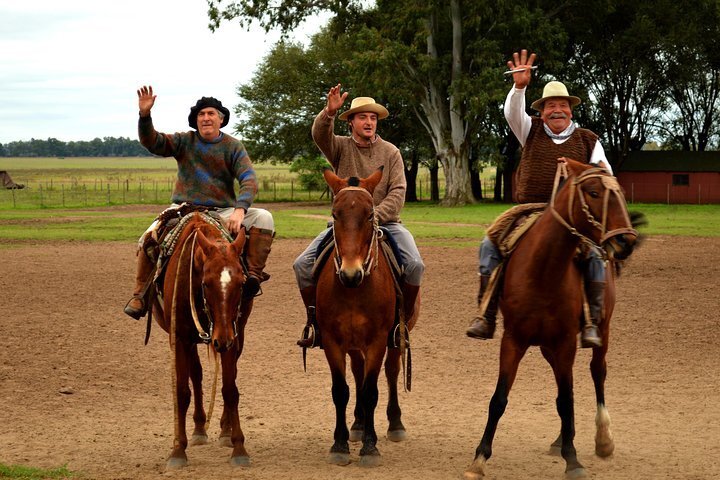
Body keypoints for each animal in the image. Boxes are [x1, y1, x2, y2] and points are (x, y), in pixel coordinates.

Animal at [150, 213, 255, 468]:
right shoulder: (179, 338)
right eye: (206, 283)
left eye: (241, 282)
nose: (221, 340)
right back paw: (199, 428)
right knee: (195, 375)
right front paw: (178, 450)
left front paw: (238, 447)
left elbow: (230, 389)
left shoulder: (231, 337)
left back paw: (224, 430)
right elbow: (181, 391)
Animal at [316, 167, 416, 466]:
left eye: (370, 215)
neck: (354, 289)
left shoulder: (378, 341)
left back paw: (395, 424)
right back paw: (358, 424)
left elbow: (372, 391)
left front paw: (370, 447)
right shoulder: (332, 341)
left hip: (397, 338)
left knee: (392, 372)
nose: (351, 273)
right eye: (335, 214)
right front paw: (339, 444)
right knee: (357, 372)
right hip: (352, 344)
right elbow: (341, 391)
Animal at [466, 159, 636, 478]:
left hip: (601, 332)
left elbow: (566, 399)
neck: (543, 270)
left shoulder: (565, 342)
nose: (626, 240)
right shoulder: (514, 340)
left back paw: (602, 439)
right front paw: (479, 459)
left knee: (597, 373)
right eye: (594, 192)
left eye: (620, 193)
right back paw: (561, 440)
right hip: (546, 347)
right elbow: (500, 398)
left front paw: (574, 460)